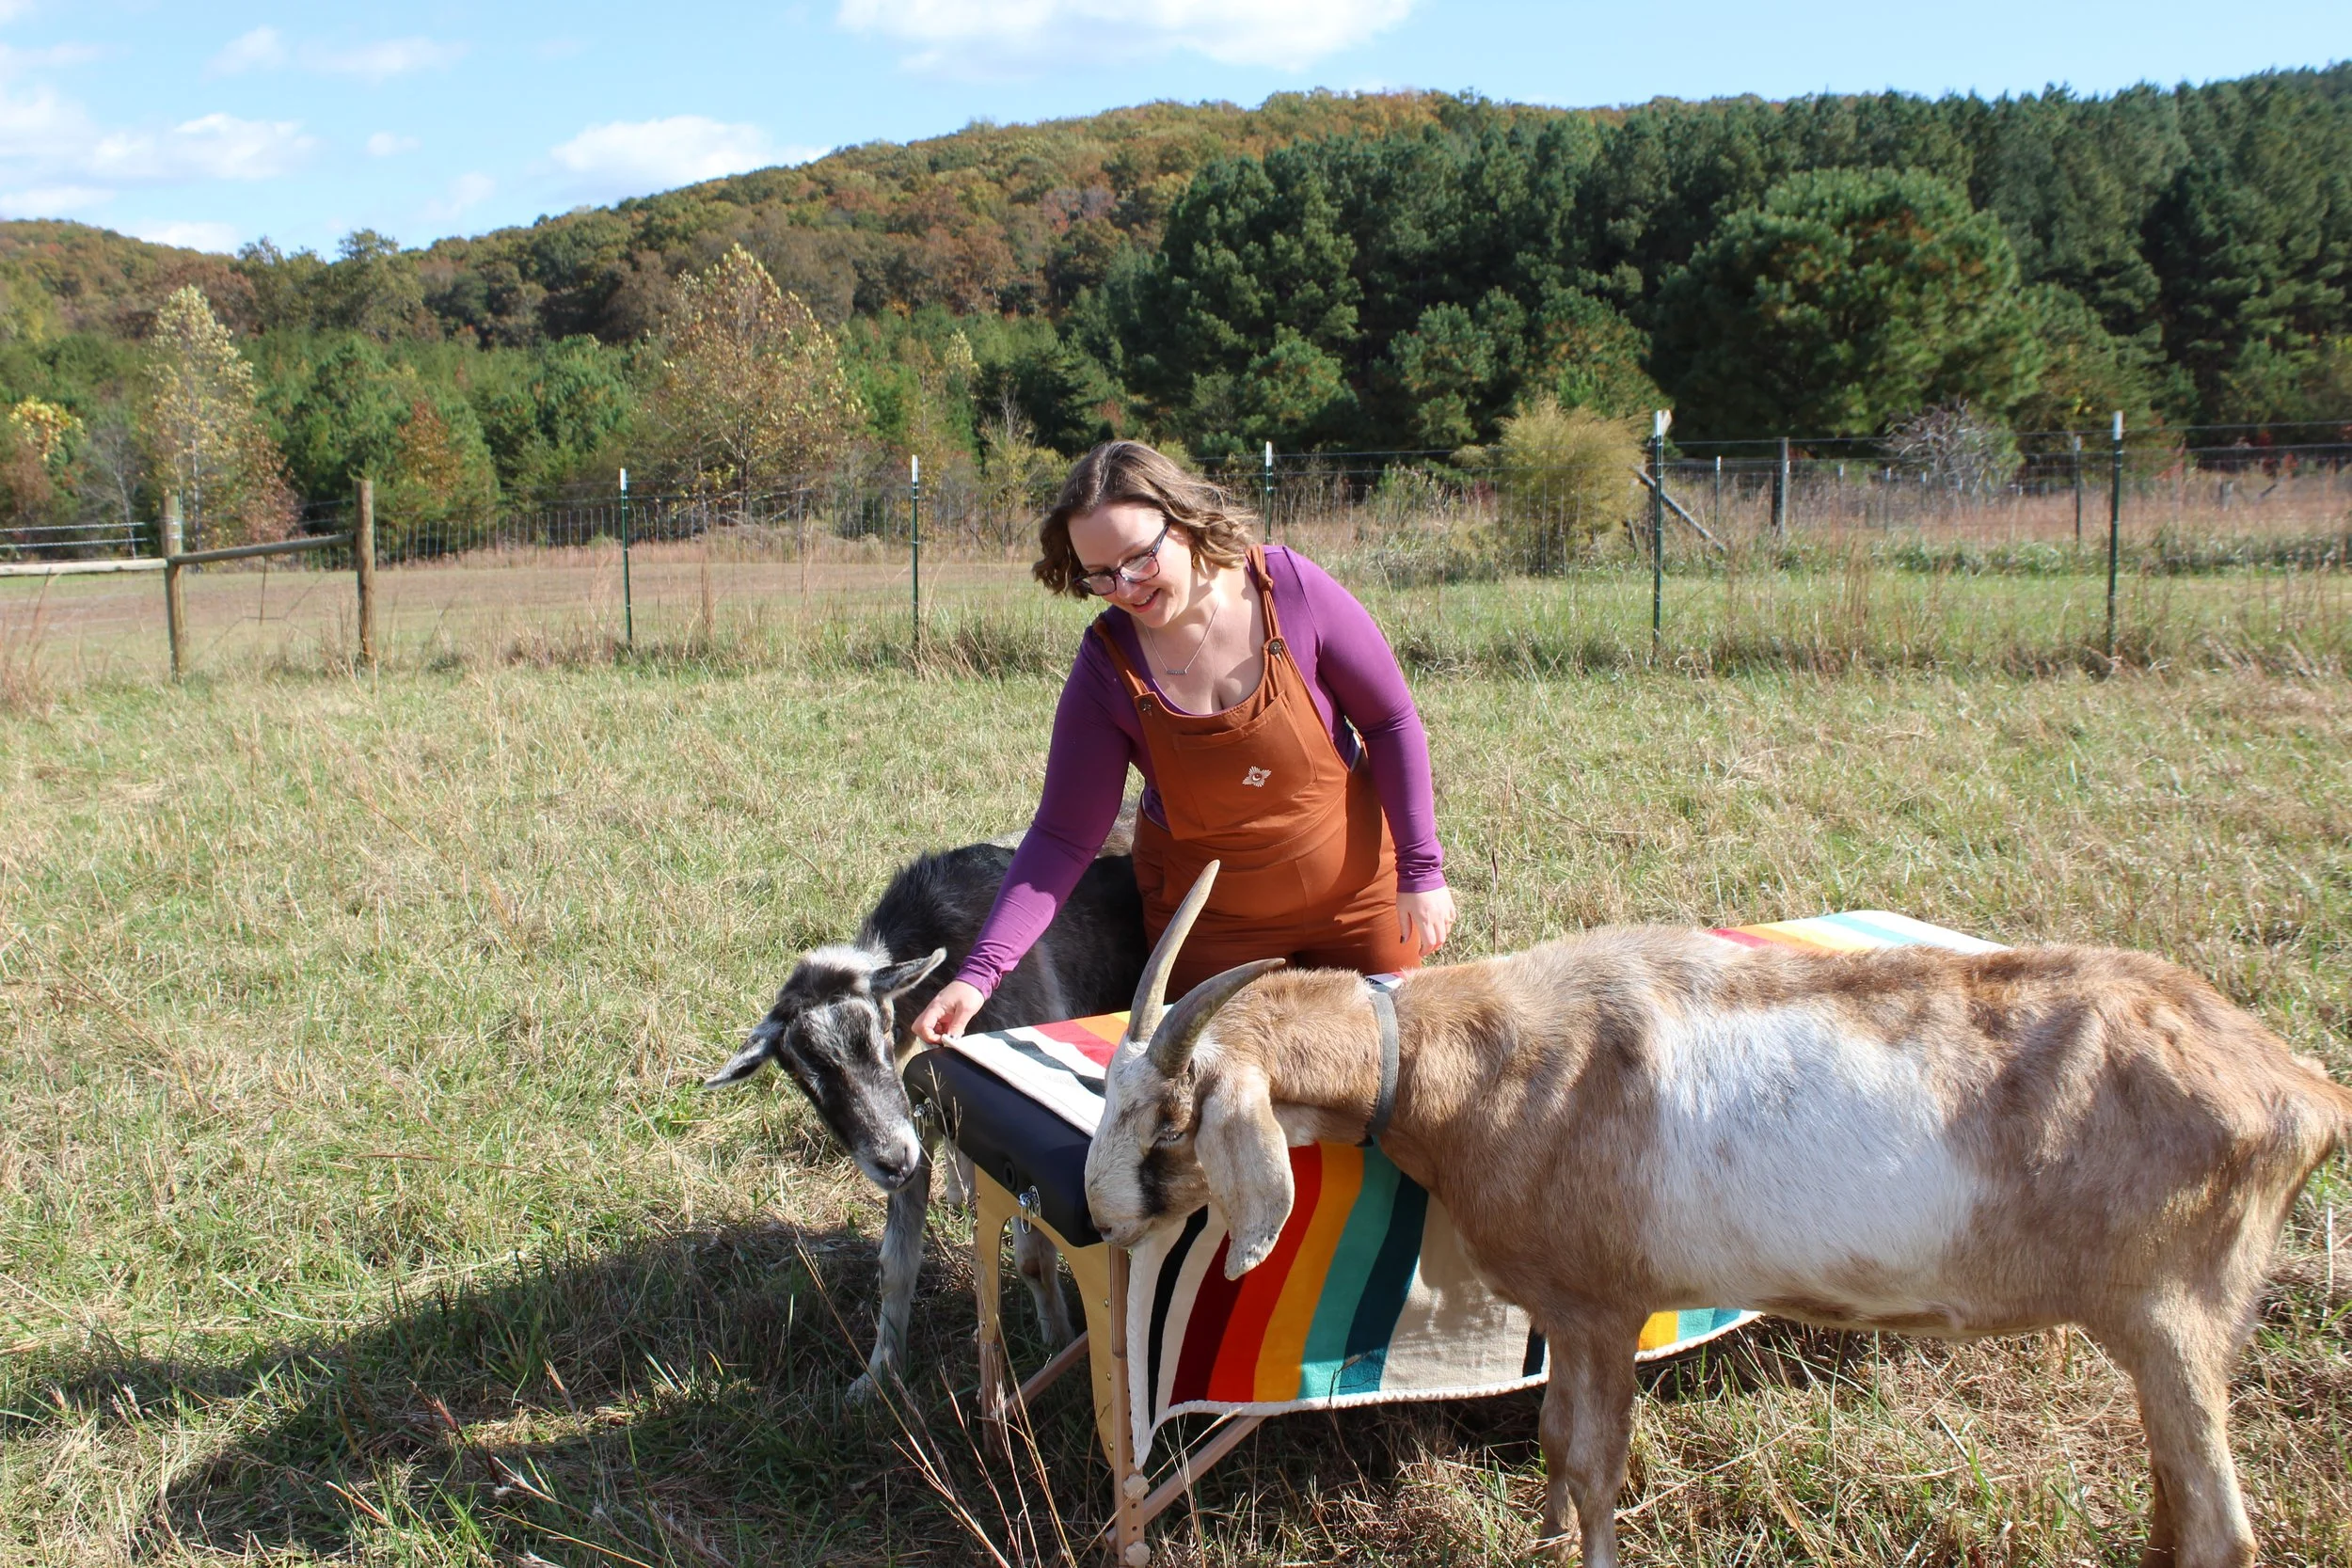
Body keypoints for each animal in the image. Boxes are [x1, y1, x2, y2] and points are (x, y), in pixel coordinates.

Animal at [709, 827, 1146, 1404]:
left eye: (877, 1031)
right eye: (803, 1074)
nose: (891, 1163)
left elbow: (1031, 1257)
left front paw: (1057, 1340)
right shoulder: (907, 1125)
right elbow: (894, 1266)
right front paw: (877, 1376)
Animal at [1085, 866, 2352, 1568]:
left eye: (1174, 1118)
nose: (1097, 1209)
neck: (1485, 1056)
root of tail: (2299, 1086)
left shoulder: (1606, 1306)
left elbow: (1597, 1460)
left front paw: (1582, 1548)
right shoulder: (1570, 1314)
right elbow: (1555, 1443)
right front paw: (1543, 1536)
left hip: (2176, 1312)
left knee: (2222, 1529)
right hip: (2161, 1329)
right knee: (2176, 1493)